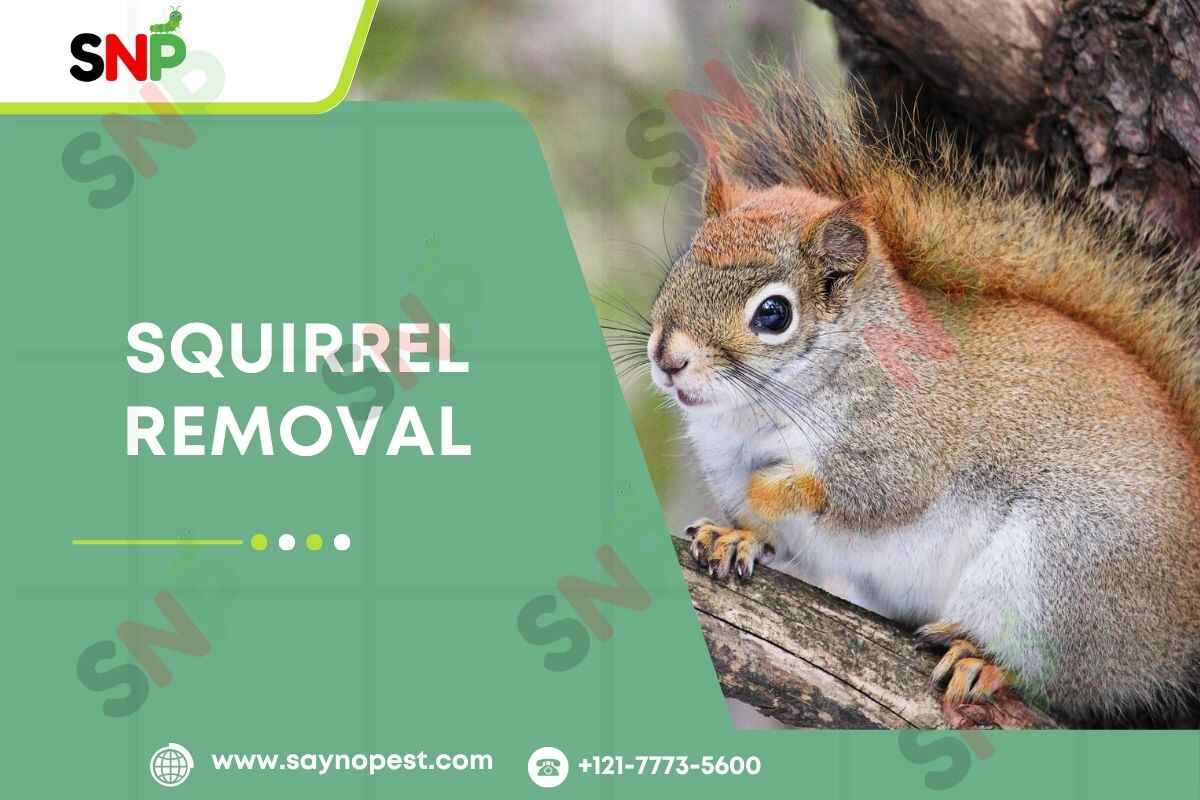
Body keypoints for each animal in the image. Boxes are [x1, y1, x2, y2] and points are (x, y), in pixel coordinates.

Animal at [639, 73, 1200, 725]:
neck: (755, 412)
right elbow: (771, 533)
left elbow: (874, 492)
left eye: (773, 314)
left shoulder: (915, 433)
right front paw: (737, 536)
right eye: (678, 269)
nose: (668, 358)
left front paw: (773, 488)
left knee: (1066, 678)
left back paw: (984, 661)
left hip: (1065, 576)